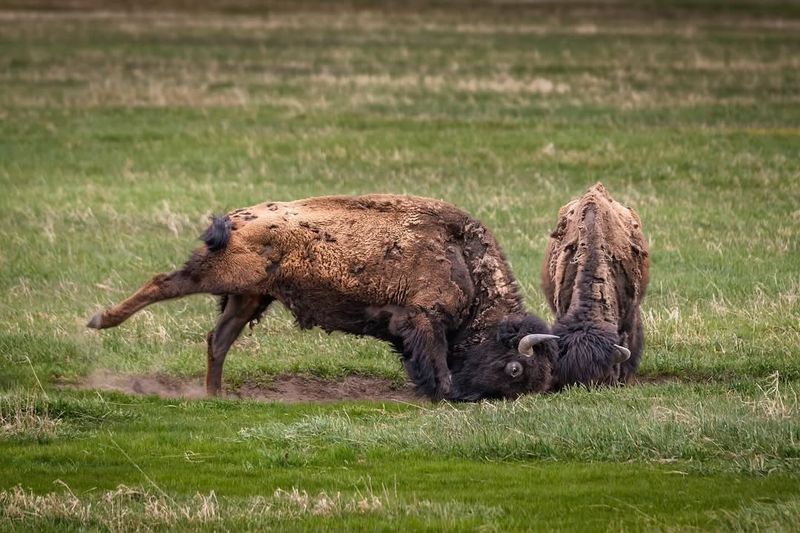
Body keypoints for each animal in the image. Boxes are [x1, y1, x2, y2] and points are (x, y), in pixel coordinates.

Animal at [87, 194, 556, 400]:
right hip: (217, 277)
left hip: (249, 298)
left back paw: (215, 396)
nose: (478, 397)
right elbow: (436, 362)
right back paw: (100, 320)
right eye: (515, 368)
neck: (463, 258)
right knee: (162, 283)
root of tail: (237, 218)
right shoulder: (425, 318)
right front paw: (443, 392)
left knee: (217, 340)